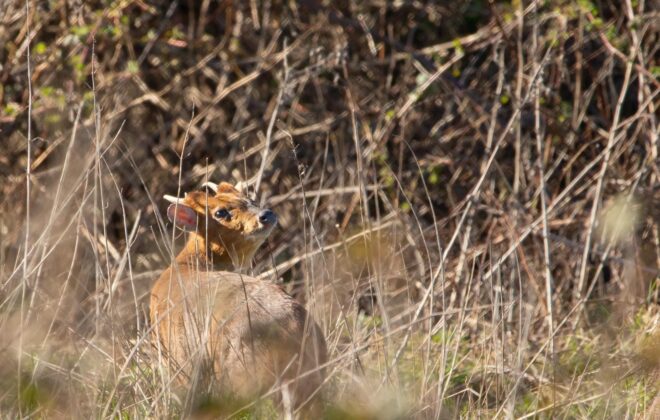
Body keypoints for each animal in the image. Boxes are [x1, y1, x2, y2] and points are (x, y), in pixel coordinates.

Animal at [150, 181, 327, 416]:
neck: (186, 265)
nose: (266, 214)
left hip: (241, 375)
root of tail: (292, 329)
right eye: (220, 212)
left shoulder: (179, 361)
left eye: (250, 199)